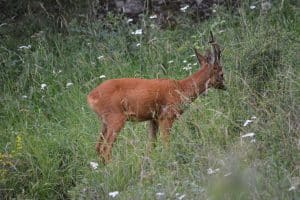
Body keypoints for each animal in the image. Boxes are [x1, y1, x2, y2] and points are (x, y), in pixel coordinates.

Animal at [86, 31, 225, 162]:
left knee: (98, 147)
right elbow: (166, 144)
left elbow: (151, 146)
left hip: (105, 121)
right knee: (105, 149)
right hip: (116, 117)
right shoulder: (167, 116)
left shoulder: (153, 119)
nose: (225, 86)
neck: (182, 88)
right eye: (222, 73)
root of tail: (90, 96)